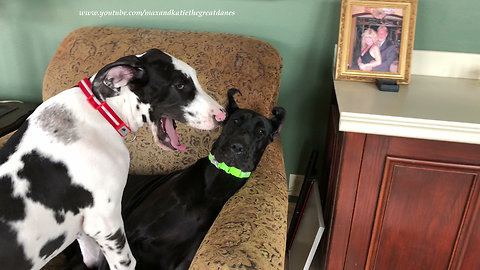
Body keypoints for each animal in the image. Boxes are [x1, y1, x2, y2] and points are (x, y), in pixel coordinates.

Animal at [61, 89, 284, 268]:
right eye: (235, 121)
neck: (214, 187)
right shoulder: (129, 236)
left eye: (261, 132)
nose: (237, 147)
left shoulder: (181, 263)